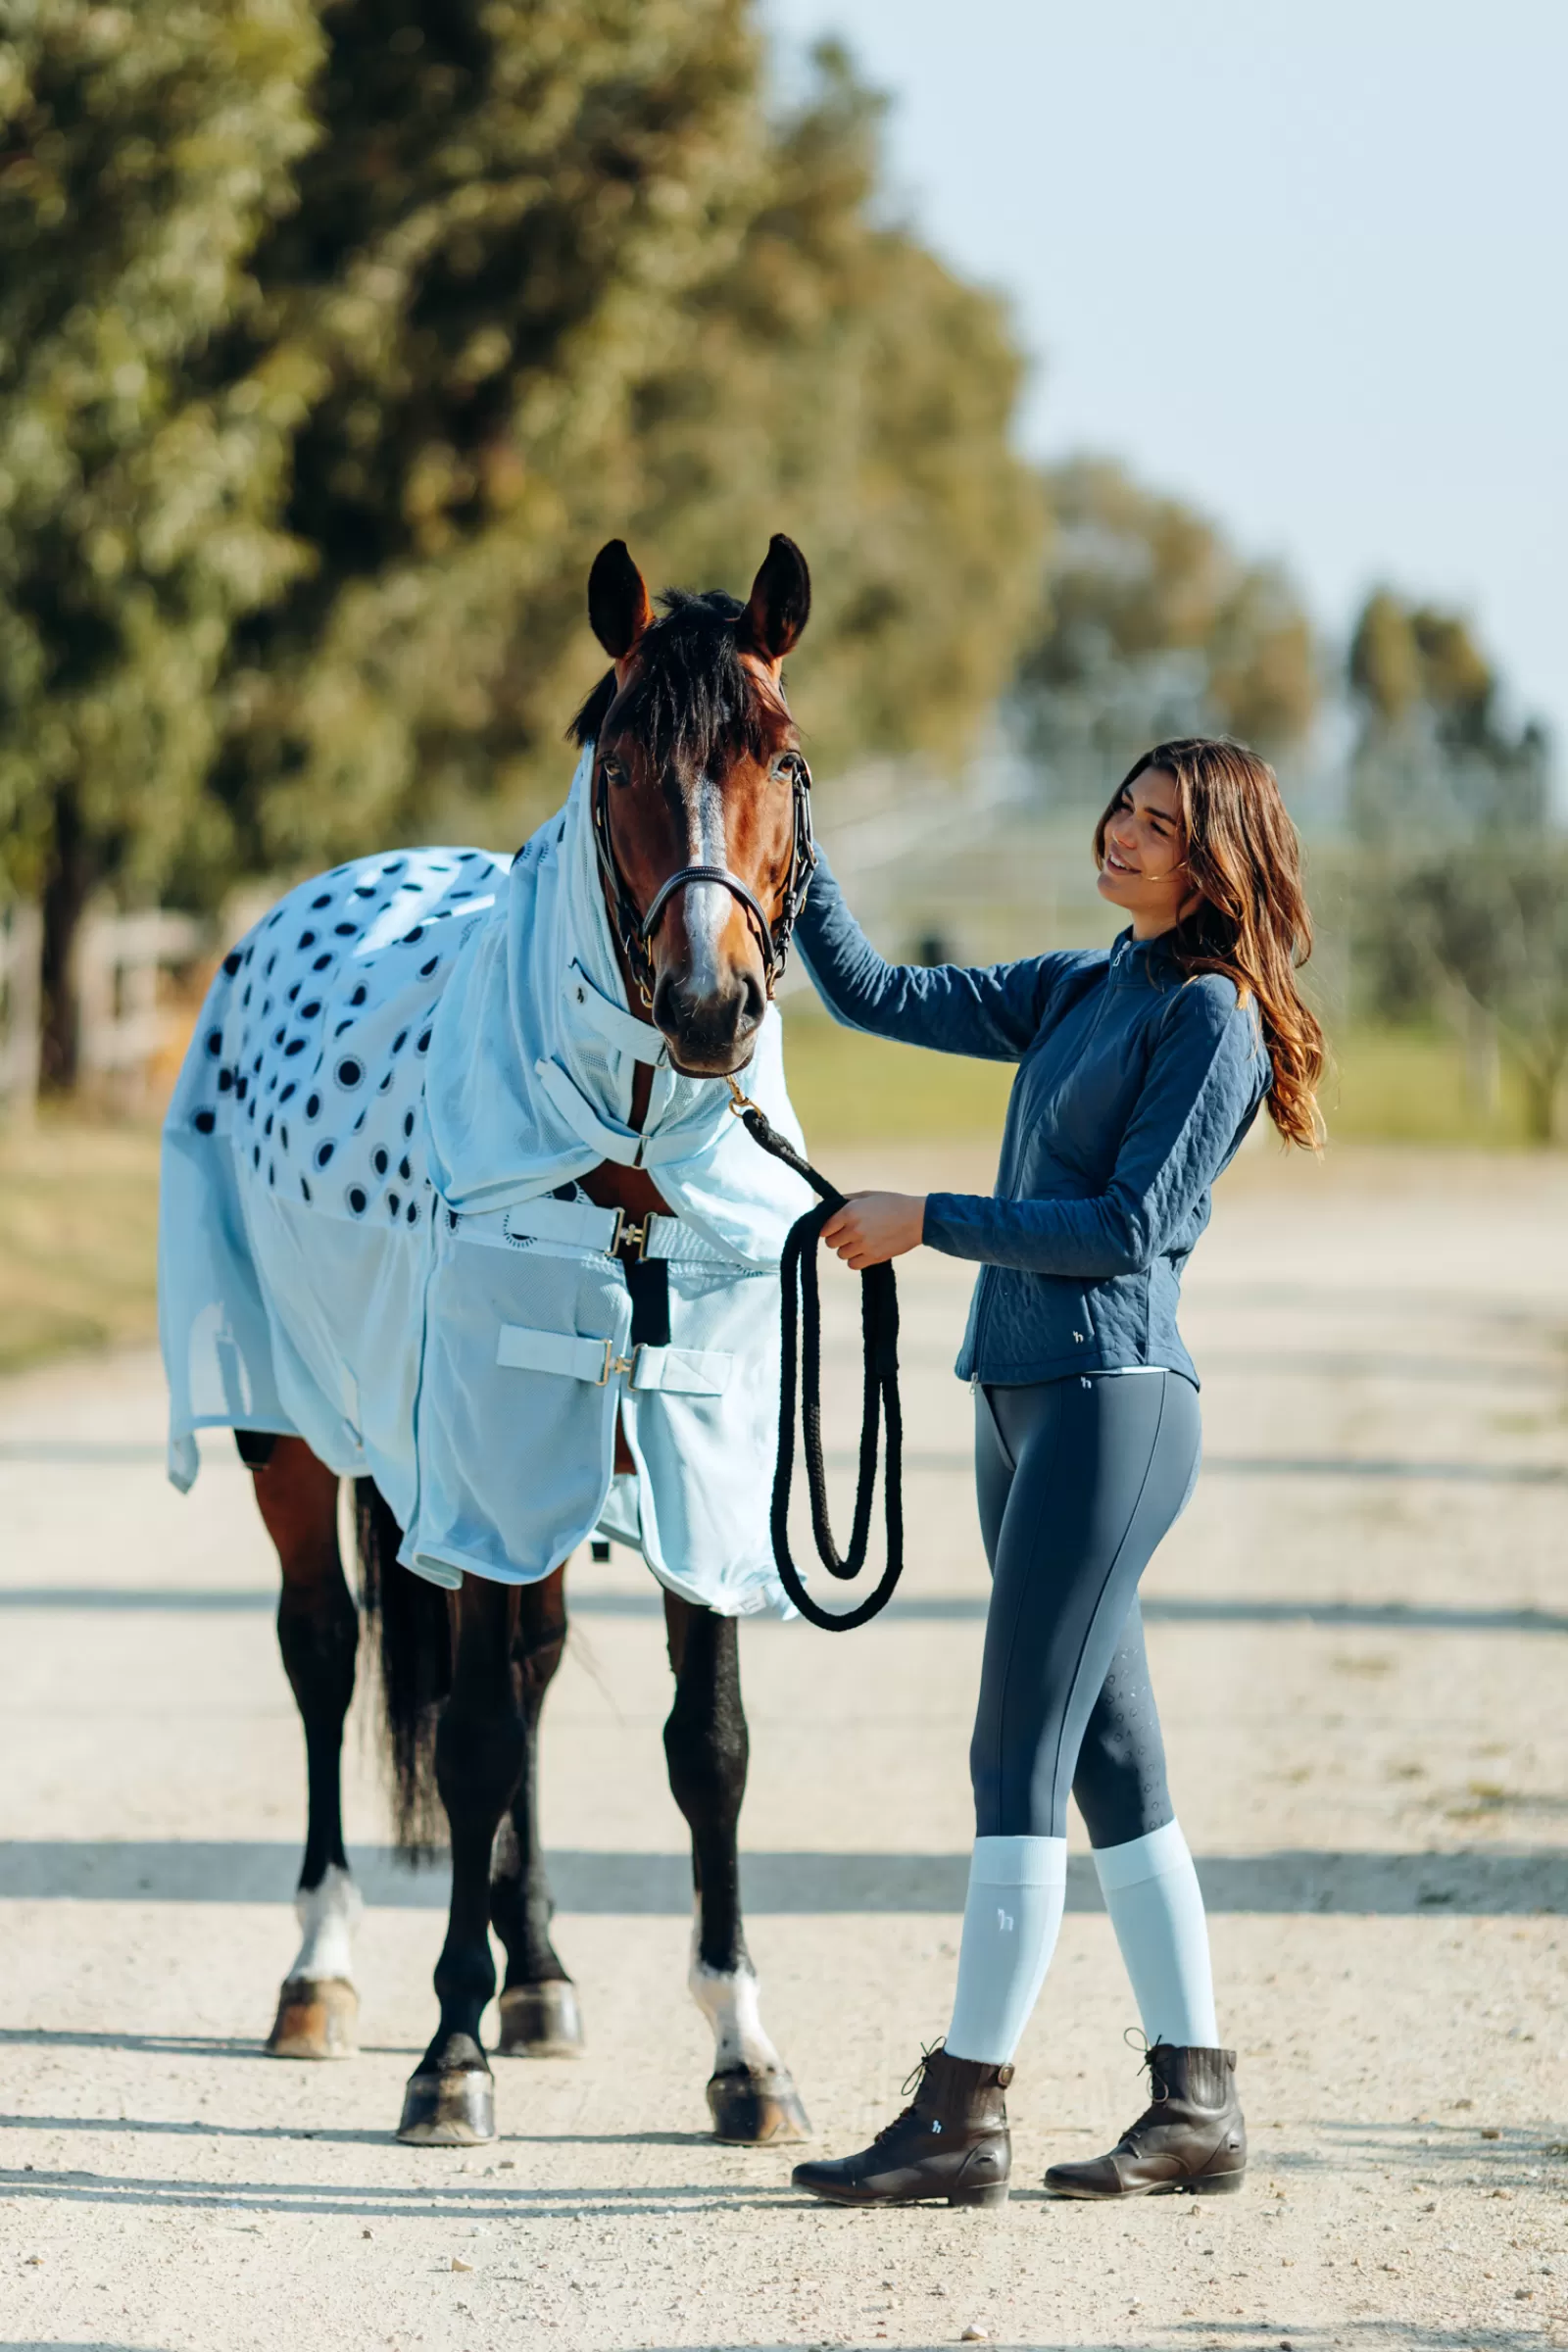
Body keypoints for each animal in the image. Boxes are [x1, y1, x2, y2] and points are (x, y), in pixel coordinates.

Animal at [161, 533, 827, 2154]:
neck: (628, 1158)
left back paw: (538, 1974)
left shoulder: (694, 1457)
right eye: (619, 762)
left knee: (523, 1670)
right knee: (328, 1656)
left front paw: (743, 2051)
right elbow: (458, 1741)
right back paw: (323, 1975)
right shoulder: (466, 1457)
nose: (710, 1006)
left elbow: (706, 1750)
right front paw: (446, 2054)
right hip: (301, 1439)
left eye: (781, 756)